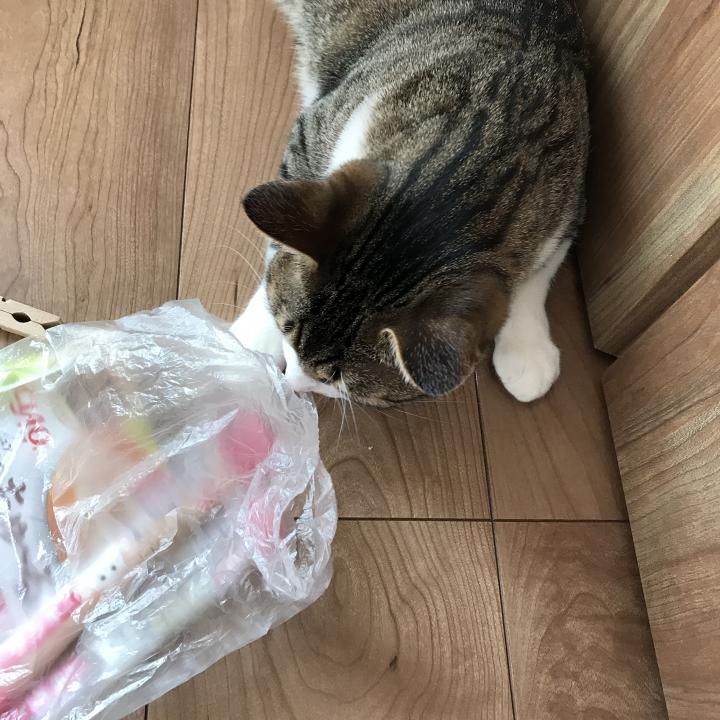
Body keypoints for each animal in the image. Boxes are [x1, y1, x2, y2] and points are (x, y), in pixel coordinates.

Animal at [232, 0, 589, 406]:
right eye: (287, 329)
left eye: (338, 381)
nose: (293, 384)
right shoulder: (312, 134)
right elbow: (279, 248)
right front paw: (252, 341)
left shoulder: (570, 197)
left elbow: (538, 273)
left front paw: (527, 351)